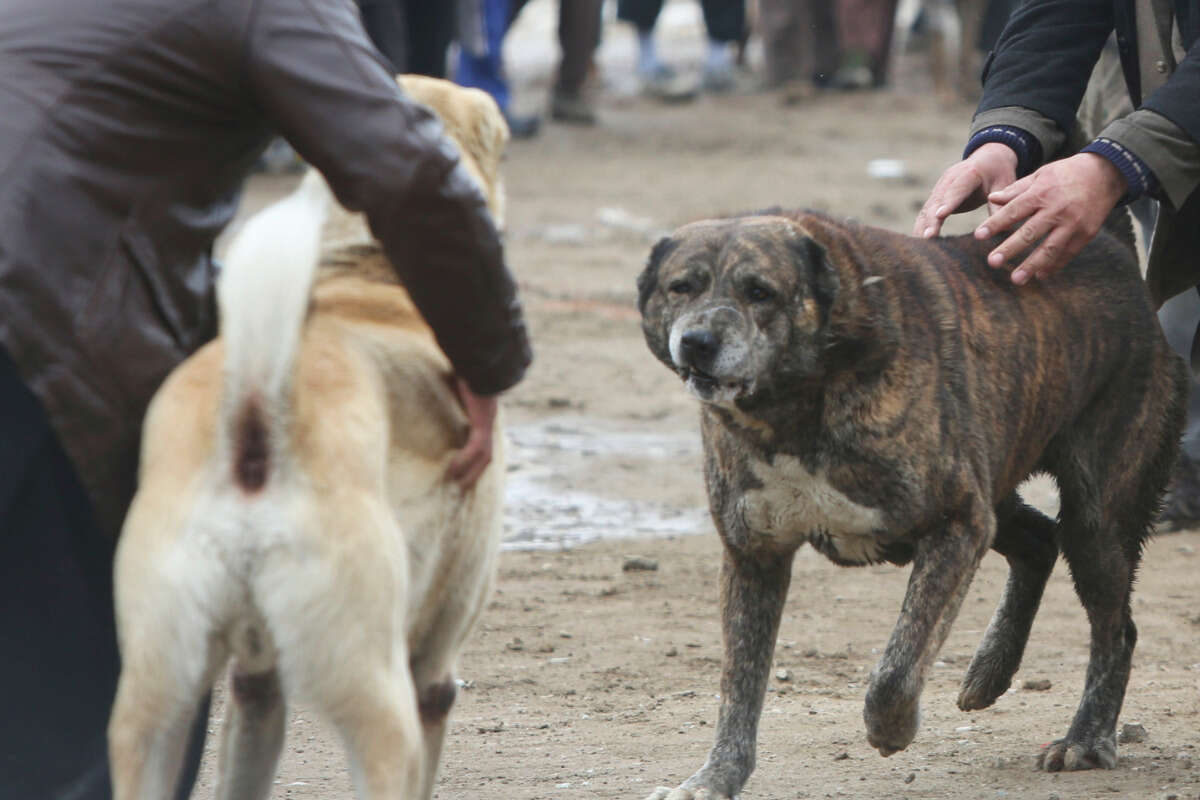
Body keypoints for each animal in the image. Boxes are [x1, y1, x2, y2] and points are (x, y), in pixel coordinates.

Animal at [106, 76, 511, 800]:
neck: (374, 270)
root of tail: (254, 419)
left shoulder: (254, 682)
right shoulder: (433, 670)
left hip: (157, 701)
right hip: (378, 695)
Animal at [633, 209, 1185, 796]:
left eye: (759, 291)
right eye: (681, 287)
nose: (698, 342)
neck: (796, 403)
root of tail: (1107, 243)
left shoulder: (956, 523)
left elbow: (895, 672)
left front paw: (890, 729)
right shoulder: (754, 556)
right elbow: (738, 689)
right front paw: (714, 778)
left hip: (1094, 521)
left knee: (1115, 626)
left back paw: (1086, 737)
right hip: (994, 480)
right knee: (1038, 539)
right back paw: (991, 669)